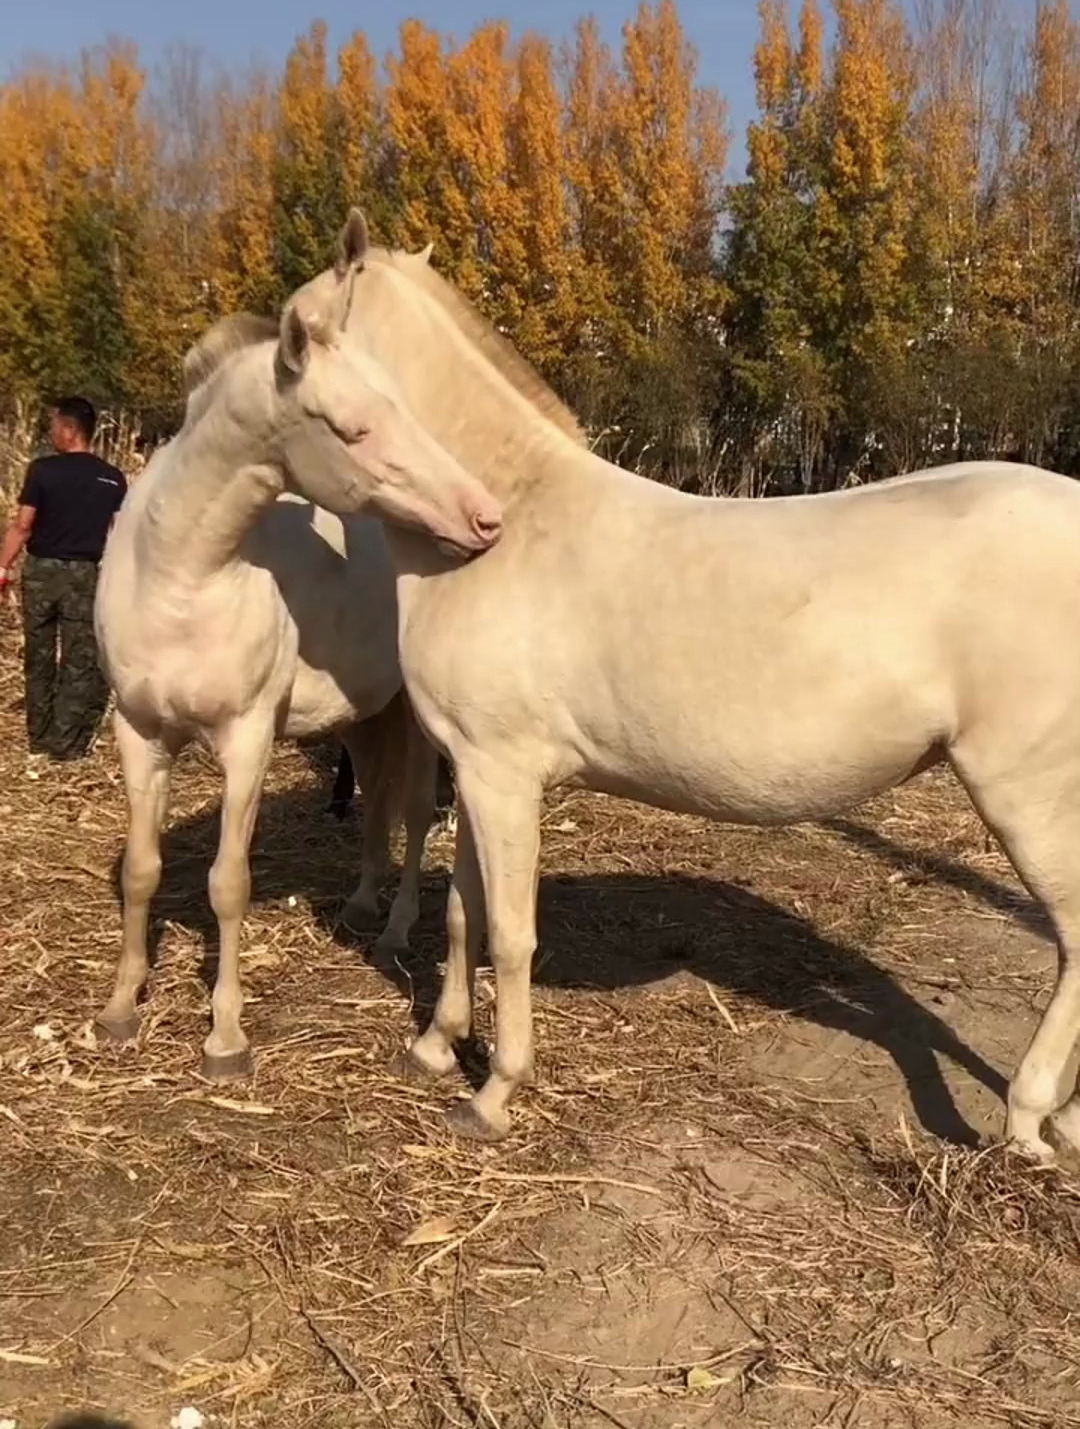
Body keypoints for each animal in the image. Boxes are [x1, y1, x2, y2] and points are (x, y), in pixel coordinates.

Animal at [90, 268, 502, 1074]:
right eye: (356, 429)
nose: (483, 516)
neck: (180, 578)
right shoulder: (139, 732)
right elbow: (141, 869)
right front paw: (121, 1007)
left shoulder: (246, 740)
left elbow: (228, 883)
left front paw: (225, 1038)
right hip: (367, 715)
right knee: (375, 800)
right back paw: (363, 903)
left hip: (416, 722)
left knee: (413, 811)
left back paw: (395, 930)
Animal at [291, 211, 1080, 1166]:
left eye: (293, 337)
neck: (502, 527)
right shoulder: (476, 773)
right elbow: (461, 915)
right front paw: (436, 1046)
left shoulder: (501, 773)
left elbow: (510, 935)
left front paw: (494, 1094)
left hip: (1028, 792)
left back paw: (1030, 1121)